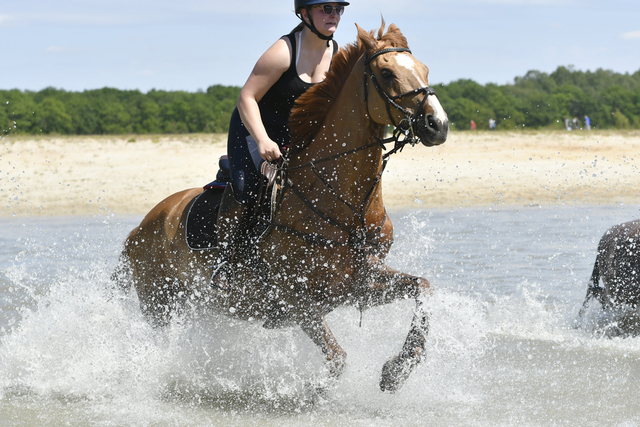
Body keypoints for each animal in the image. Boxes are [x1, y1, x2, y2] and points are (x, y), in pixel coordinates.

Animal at [119, 21, 450, 392]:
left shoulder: (358, 284)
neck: (347, 207)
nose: (438, 124)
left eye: (424, 69)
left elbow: (422, 287)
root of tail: (142, 225)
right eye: (387, 72)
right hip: (159, 304)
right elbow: (337, 360)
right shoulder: (294, 297)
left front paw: (398, 368)